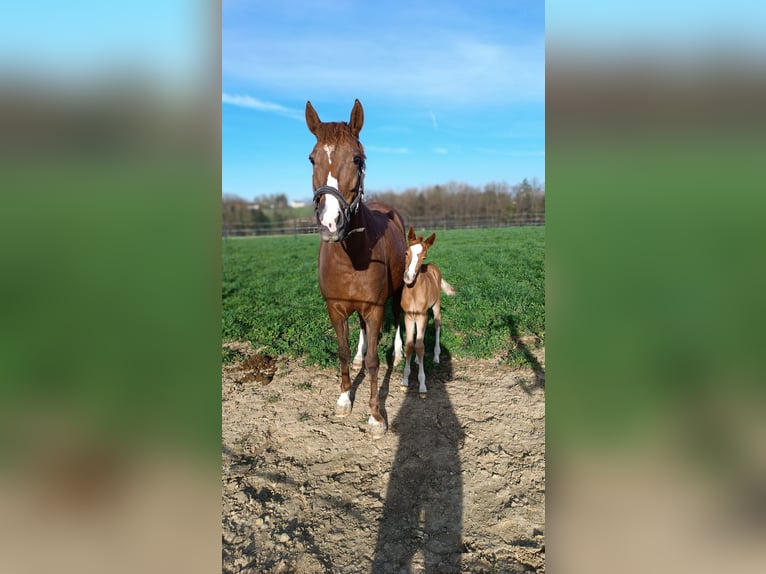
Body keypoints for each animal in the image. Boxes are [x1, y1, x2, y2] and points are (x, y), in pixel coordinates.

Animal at [305, 98, 406, 438]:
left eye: (358, 158)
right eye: (312, 159)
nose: (330, 223)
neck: (351, 257)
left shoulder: (374, 308)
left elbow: (376, 362)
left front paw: (376, 417)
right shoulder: (335, 308)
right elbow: (344, 352)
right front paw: (343, 399)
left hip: (397, 292)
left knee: (399, 318)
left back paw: (399, 354)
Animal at [400, 227, 456, 397]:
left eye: (423, 256)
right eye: (406, 252)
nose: (408, 277)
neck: (413, 292)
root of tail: (433, 267)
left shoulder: (422, 315)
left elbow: (419, 347)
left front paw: (422, 384)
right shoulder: (408, 316)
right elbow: (410, 344)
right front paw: (405, 379)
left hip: (435, 306)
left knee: (437, 325)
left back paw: (436, 357)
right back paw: (417, 360)